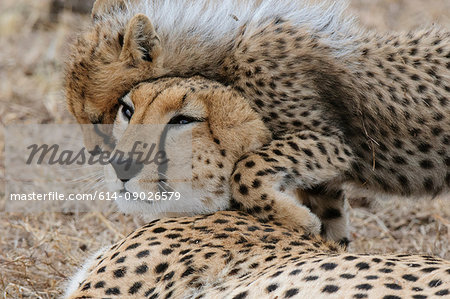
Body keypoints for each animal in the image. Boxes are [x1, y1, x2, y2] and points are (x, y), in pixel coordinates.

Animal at [66, 0, 450, 244]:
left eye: (97, 118)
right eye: (126, 110)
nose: (110, 162)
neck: (216, 52)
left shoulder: (334, 143)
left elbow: (246, 171)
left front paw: (299, 221)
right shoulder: (322, 176)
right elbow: (329, 215)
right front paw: (317, 235)